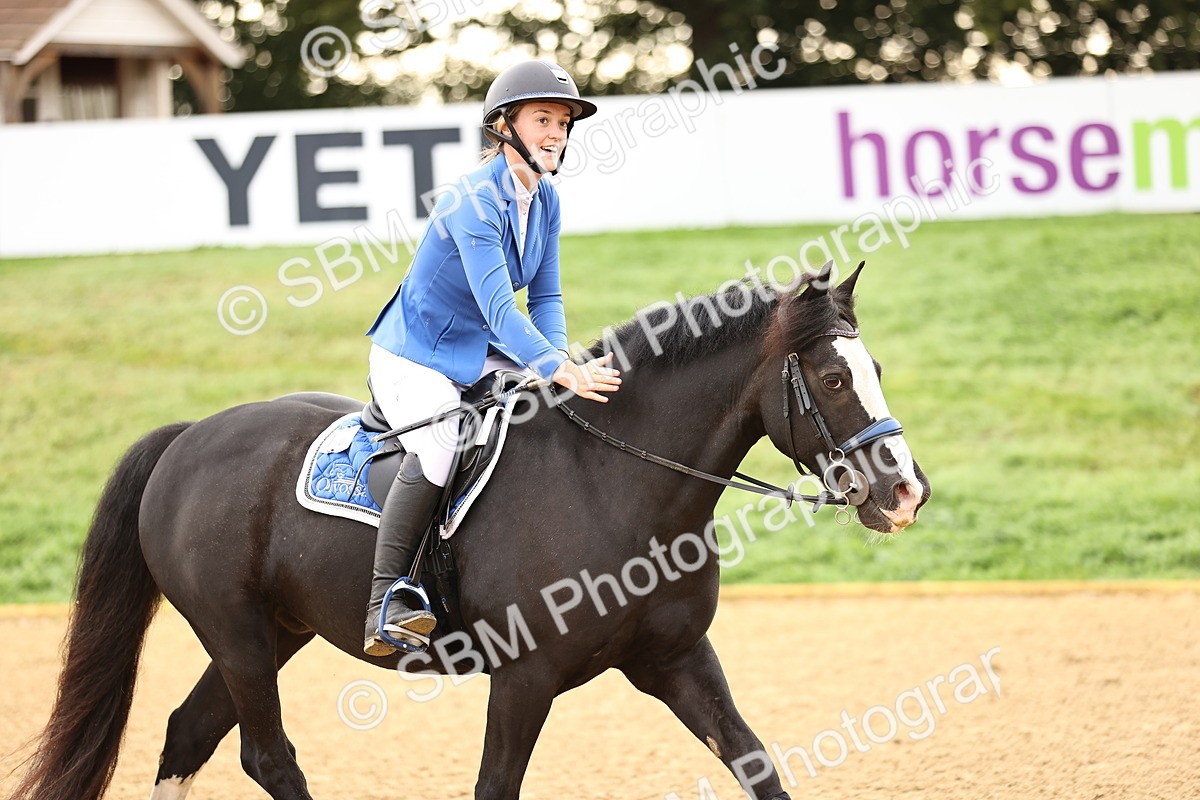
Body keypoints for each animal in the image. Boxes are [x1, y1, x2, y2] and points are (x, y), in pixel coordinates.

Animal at [9, 262, 929, 800]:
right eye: (836, 378)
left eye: (880, 369)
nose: (905, 492)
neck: (617, 485)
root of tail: (189, 436)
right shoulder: (523, 679)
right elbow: (495, 787)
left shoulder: (673, 660)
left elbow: (755, 763)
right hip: (234, 633)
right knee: (266, 757)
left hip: (271, 633)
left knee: (188, 734)